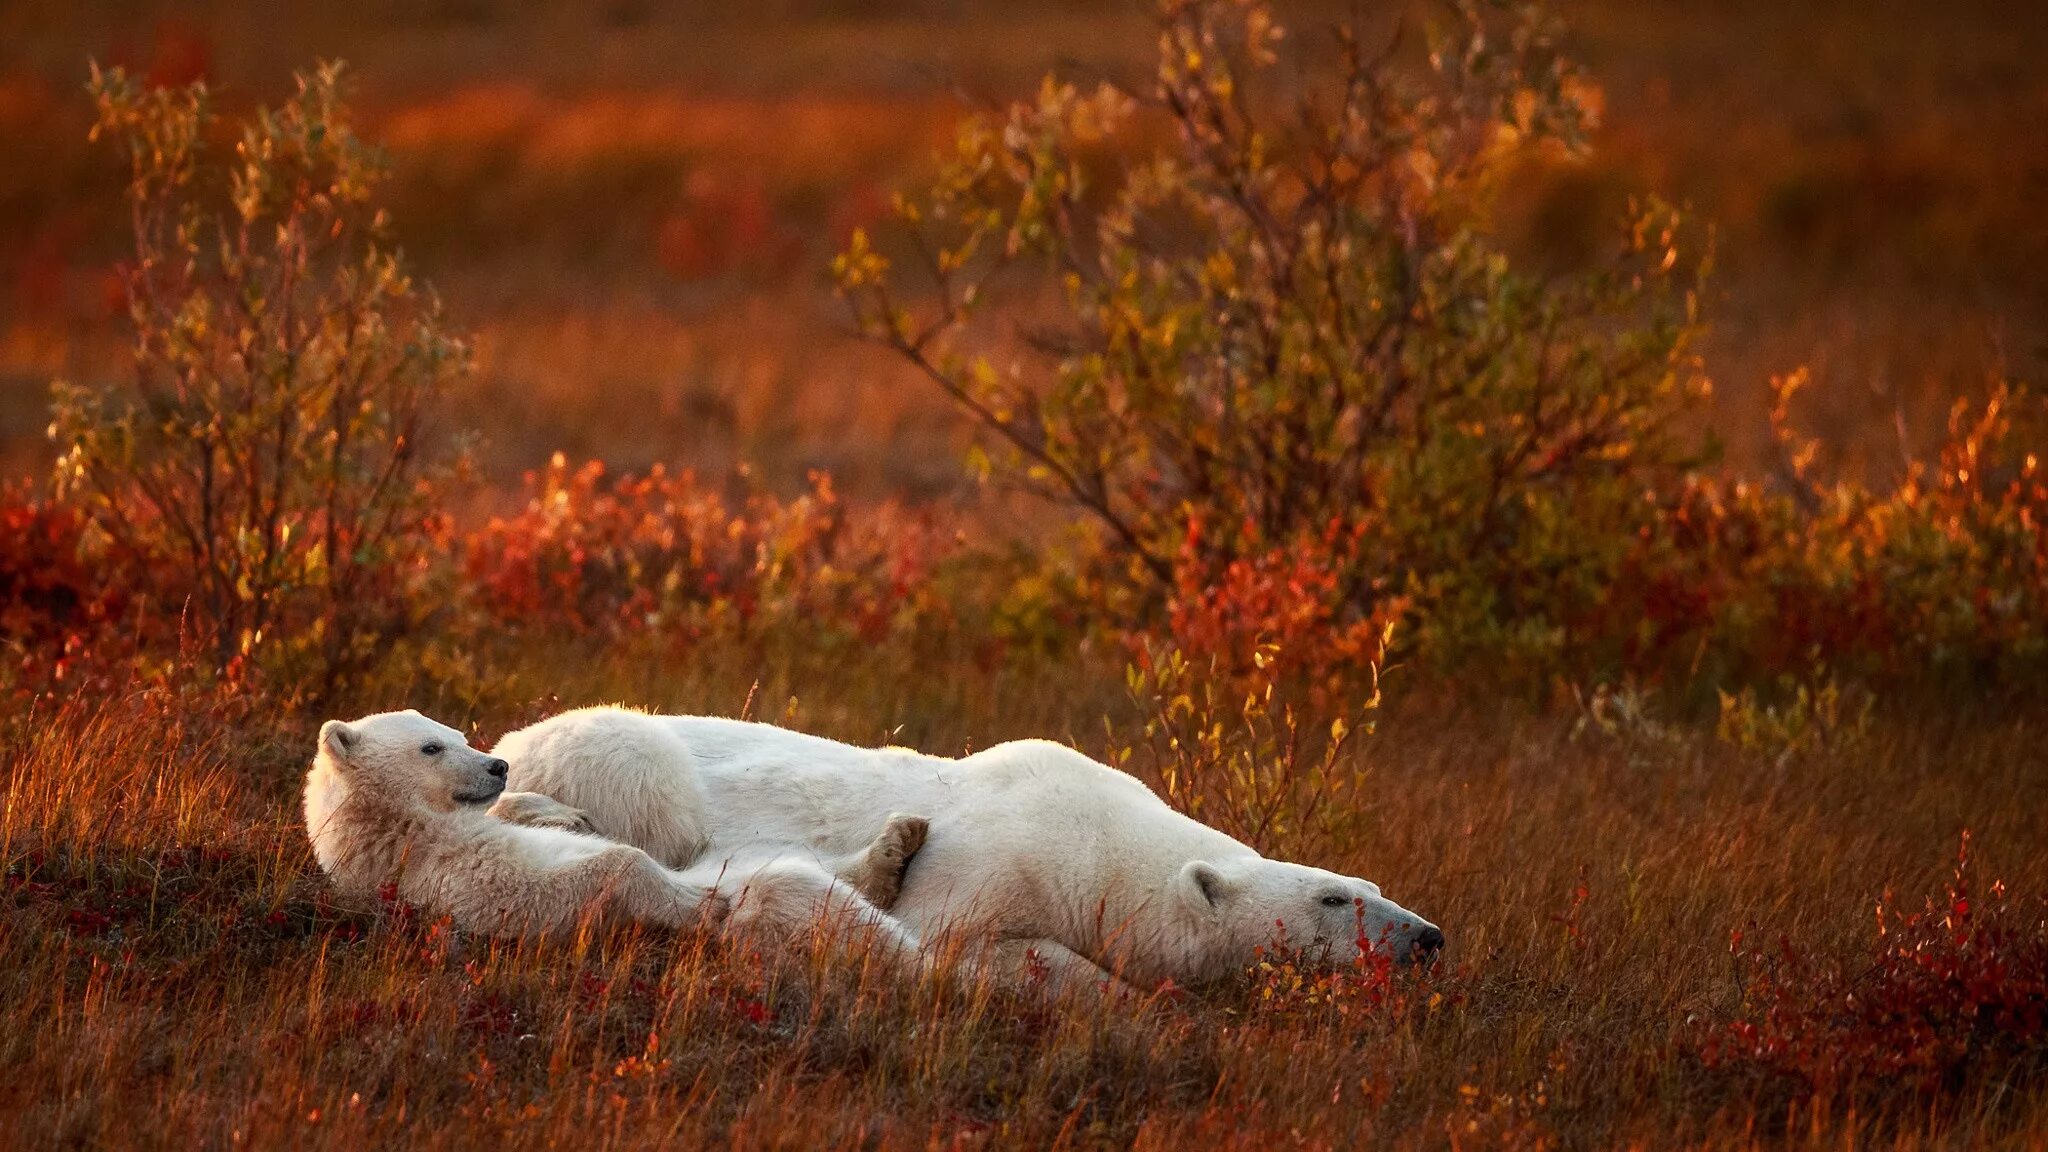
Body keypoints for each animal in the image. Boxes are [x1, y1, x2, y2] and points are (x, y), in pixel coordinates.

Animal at [305, 709, 929, 959]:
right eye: (431, 747)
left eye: (456, 733)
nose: (497, 766)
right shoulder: (440, 872)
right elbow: (581, 878)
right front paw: (698, 906)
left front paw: (562, 815)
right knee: (785, 885)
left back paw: (898, 841)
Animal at [493, 701, 1441, 988]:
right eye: (1334, 900)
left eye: (1369, 883)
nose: (1428, 936)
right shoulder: (991, 863)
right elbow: (969, 941)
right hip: (622, 757)